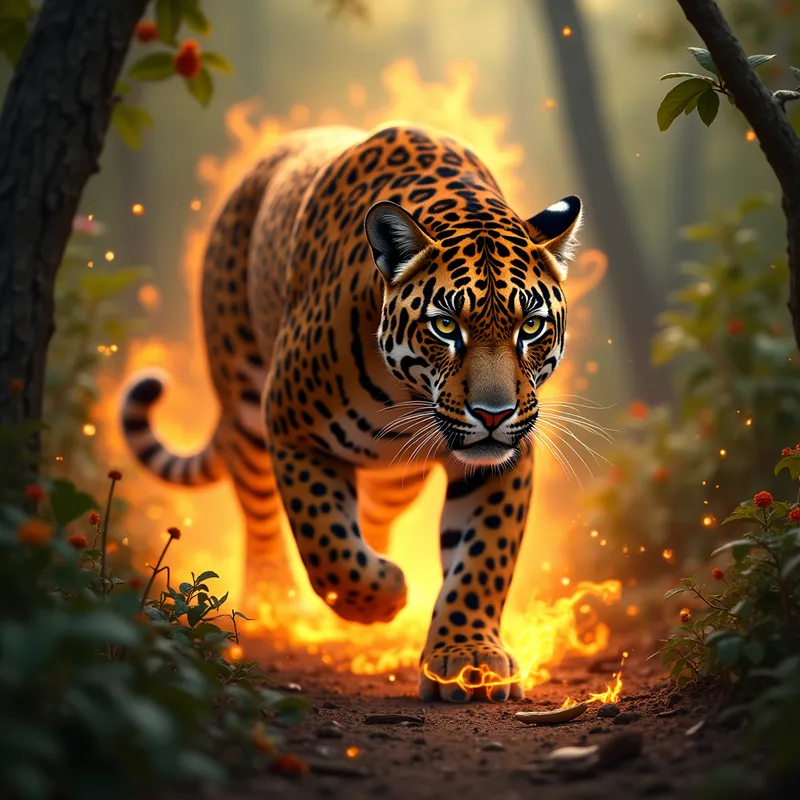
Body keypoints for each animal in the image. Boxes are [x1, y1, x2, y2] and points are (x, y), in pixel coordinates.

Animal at [120, 122, 583, 703]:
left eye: (531, 327)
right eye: (446, 327)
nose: (493, 414)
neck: (403, 394)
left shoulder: (506, 458)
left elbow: (483, 557)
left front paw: (467, 658)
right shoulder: (290, 426)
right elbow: (327, 543)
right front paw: (383, 595)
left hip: (396, 478)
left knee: (374, 513)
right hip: (245, 402)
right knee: (260, 512)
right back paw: (275, 601)